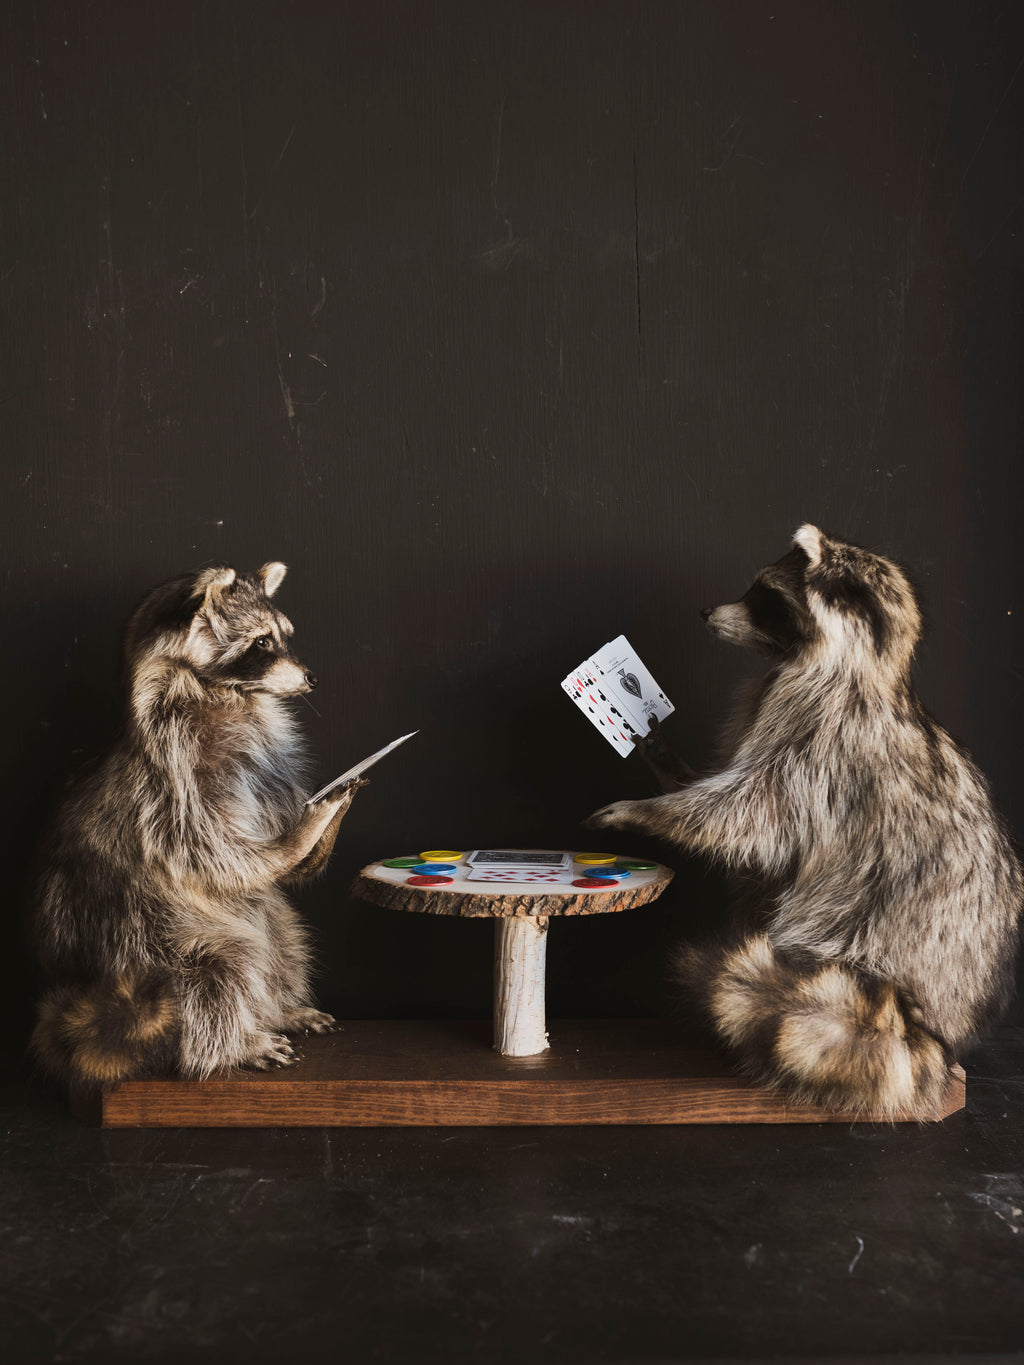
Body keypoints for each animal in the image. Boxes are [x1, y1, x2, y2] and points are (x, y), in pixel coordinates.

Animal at [31, 562, 361, 1088]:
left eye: (284, 637)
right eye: (261, 643)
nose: (311, 678)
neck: (229, 696)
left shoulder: (263, 768)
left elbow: (282, 869)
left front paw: (324, 829)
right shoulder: (170, 780)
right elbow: (215, 855)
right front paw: (299, 836)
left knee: (282, 938)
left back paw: (277, 1007)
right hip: (156, 941)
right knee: (217, 973)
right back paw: (234, 1042)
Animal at [587, 525, 1022, 1116]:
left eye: (766, 597)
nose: (704, 611)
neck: (871, 666)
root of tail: (933, 1026)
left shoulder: (822, 747)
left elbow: (744, 815)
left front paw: (650, 810)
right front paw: (666, 765)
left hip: (850, 933)